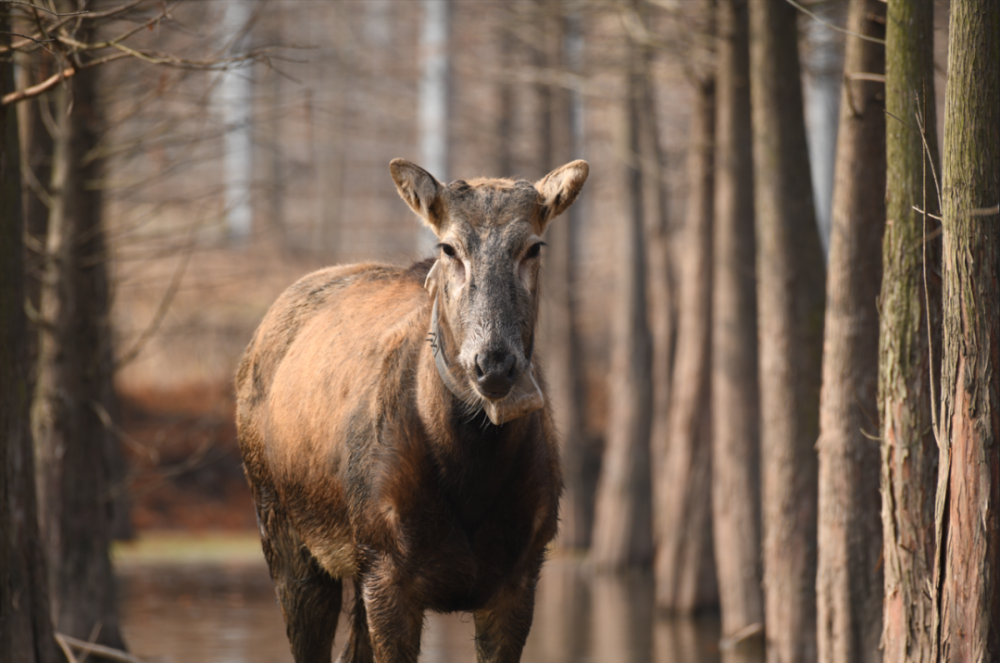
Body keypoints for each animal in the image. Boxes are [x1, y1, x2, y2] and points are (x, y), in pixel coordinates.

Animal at [236, 157, 584, 663]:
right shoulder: (387, 570)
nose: (493, 363)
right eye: (448, 247)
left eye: (533, 247)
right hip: (282, 528)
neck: (471, 471)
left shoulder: (521, 576)